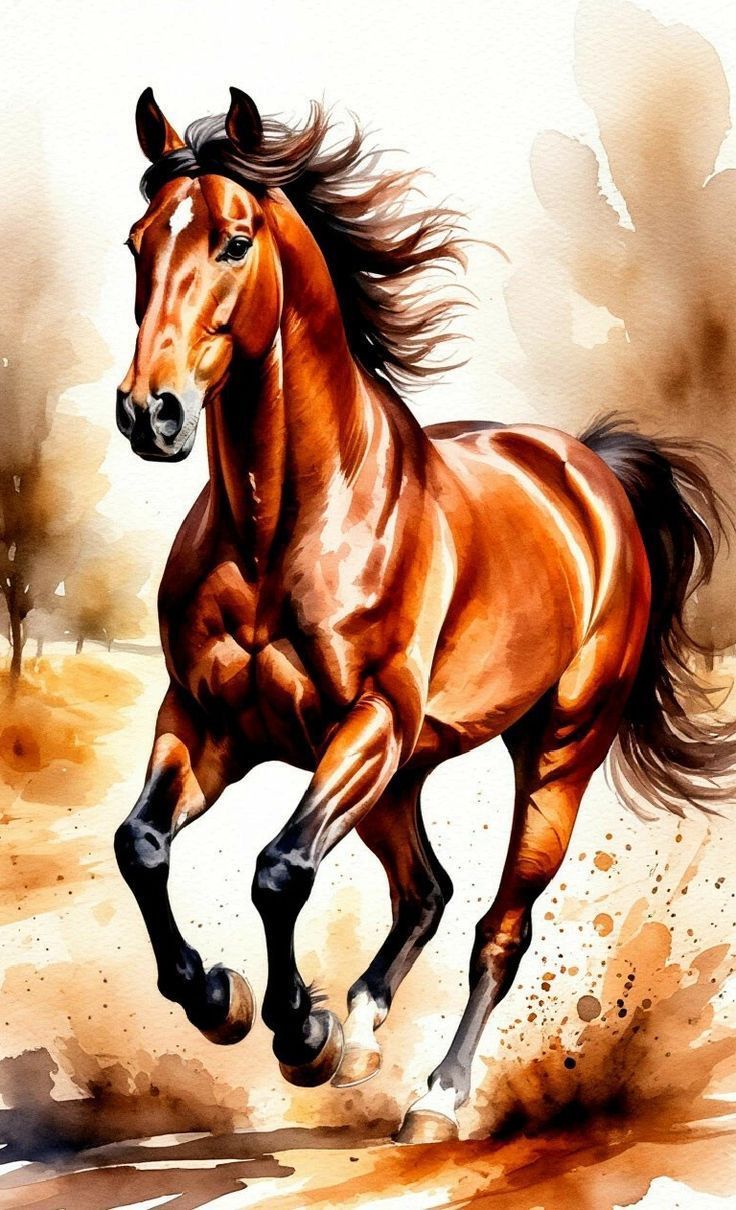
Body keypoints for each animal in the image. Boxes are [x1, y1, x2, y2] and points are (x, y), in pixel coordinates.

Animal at [113, 86, 736, 1144]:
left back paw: (435, 1097)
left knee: (496, 927)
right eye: (136, 242)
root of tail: (592, 470)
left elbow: (280, 868)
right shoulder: (204, 723)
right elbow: (143, 845)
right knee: (426, 890)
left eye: (234, 241)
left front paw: (299, 1030)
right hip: (400, 775)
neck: (284, 526)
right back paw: (365, 1034)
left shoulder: (365, 723)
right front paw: (222, 999)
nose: (148, 413)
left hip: (551, 756)